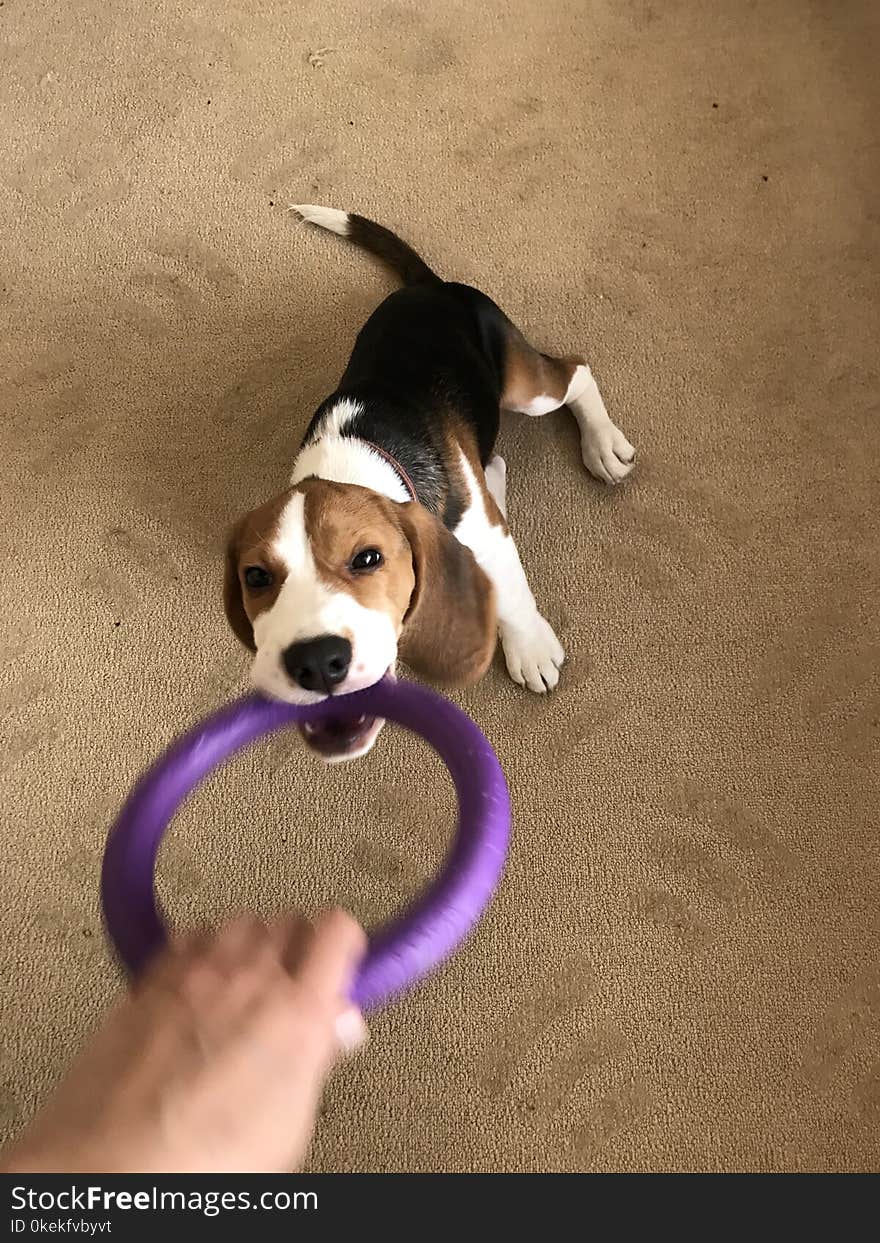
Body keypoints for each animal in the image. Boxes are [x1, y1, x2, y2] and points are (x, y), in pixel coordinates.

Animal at [219, 206, 631, 755]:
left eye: (368, 559)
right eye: (256, 578)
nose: (315, 662)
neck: (358, 457)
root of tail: (430, 286)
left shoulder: (487, 533)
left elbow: (513, 591)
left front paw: (531, 649)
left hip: (524, 388)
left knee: (576, 373)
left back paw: (603, 445)